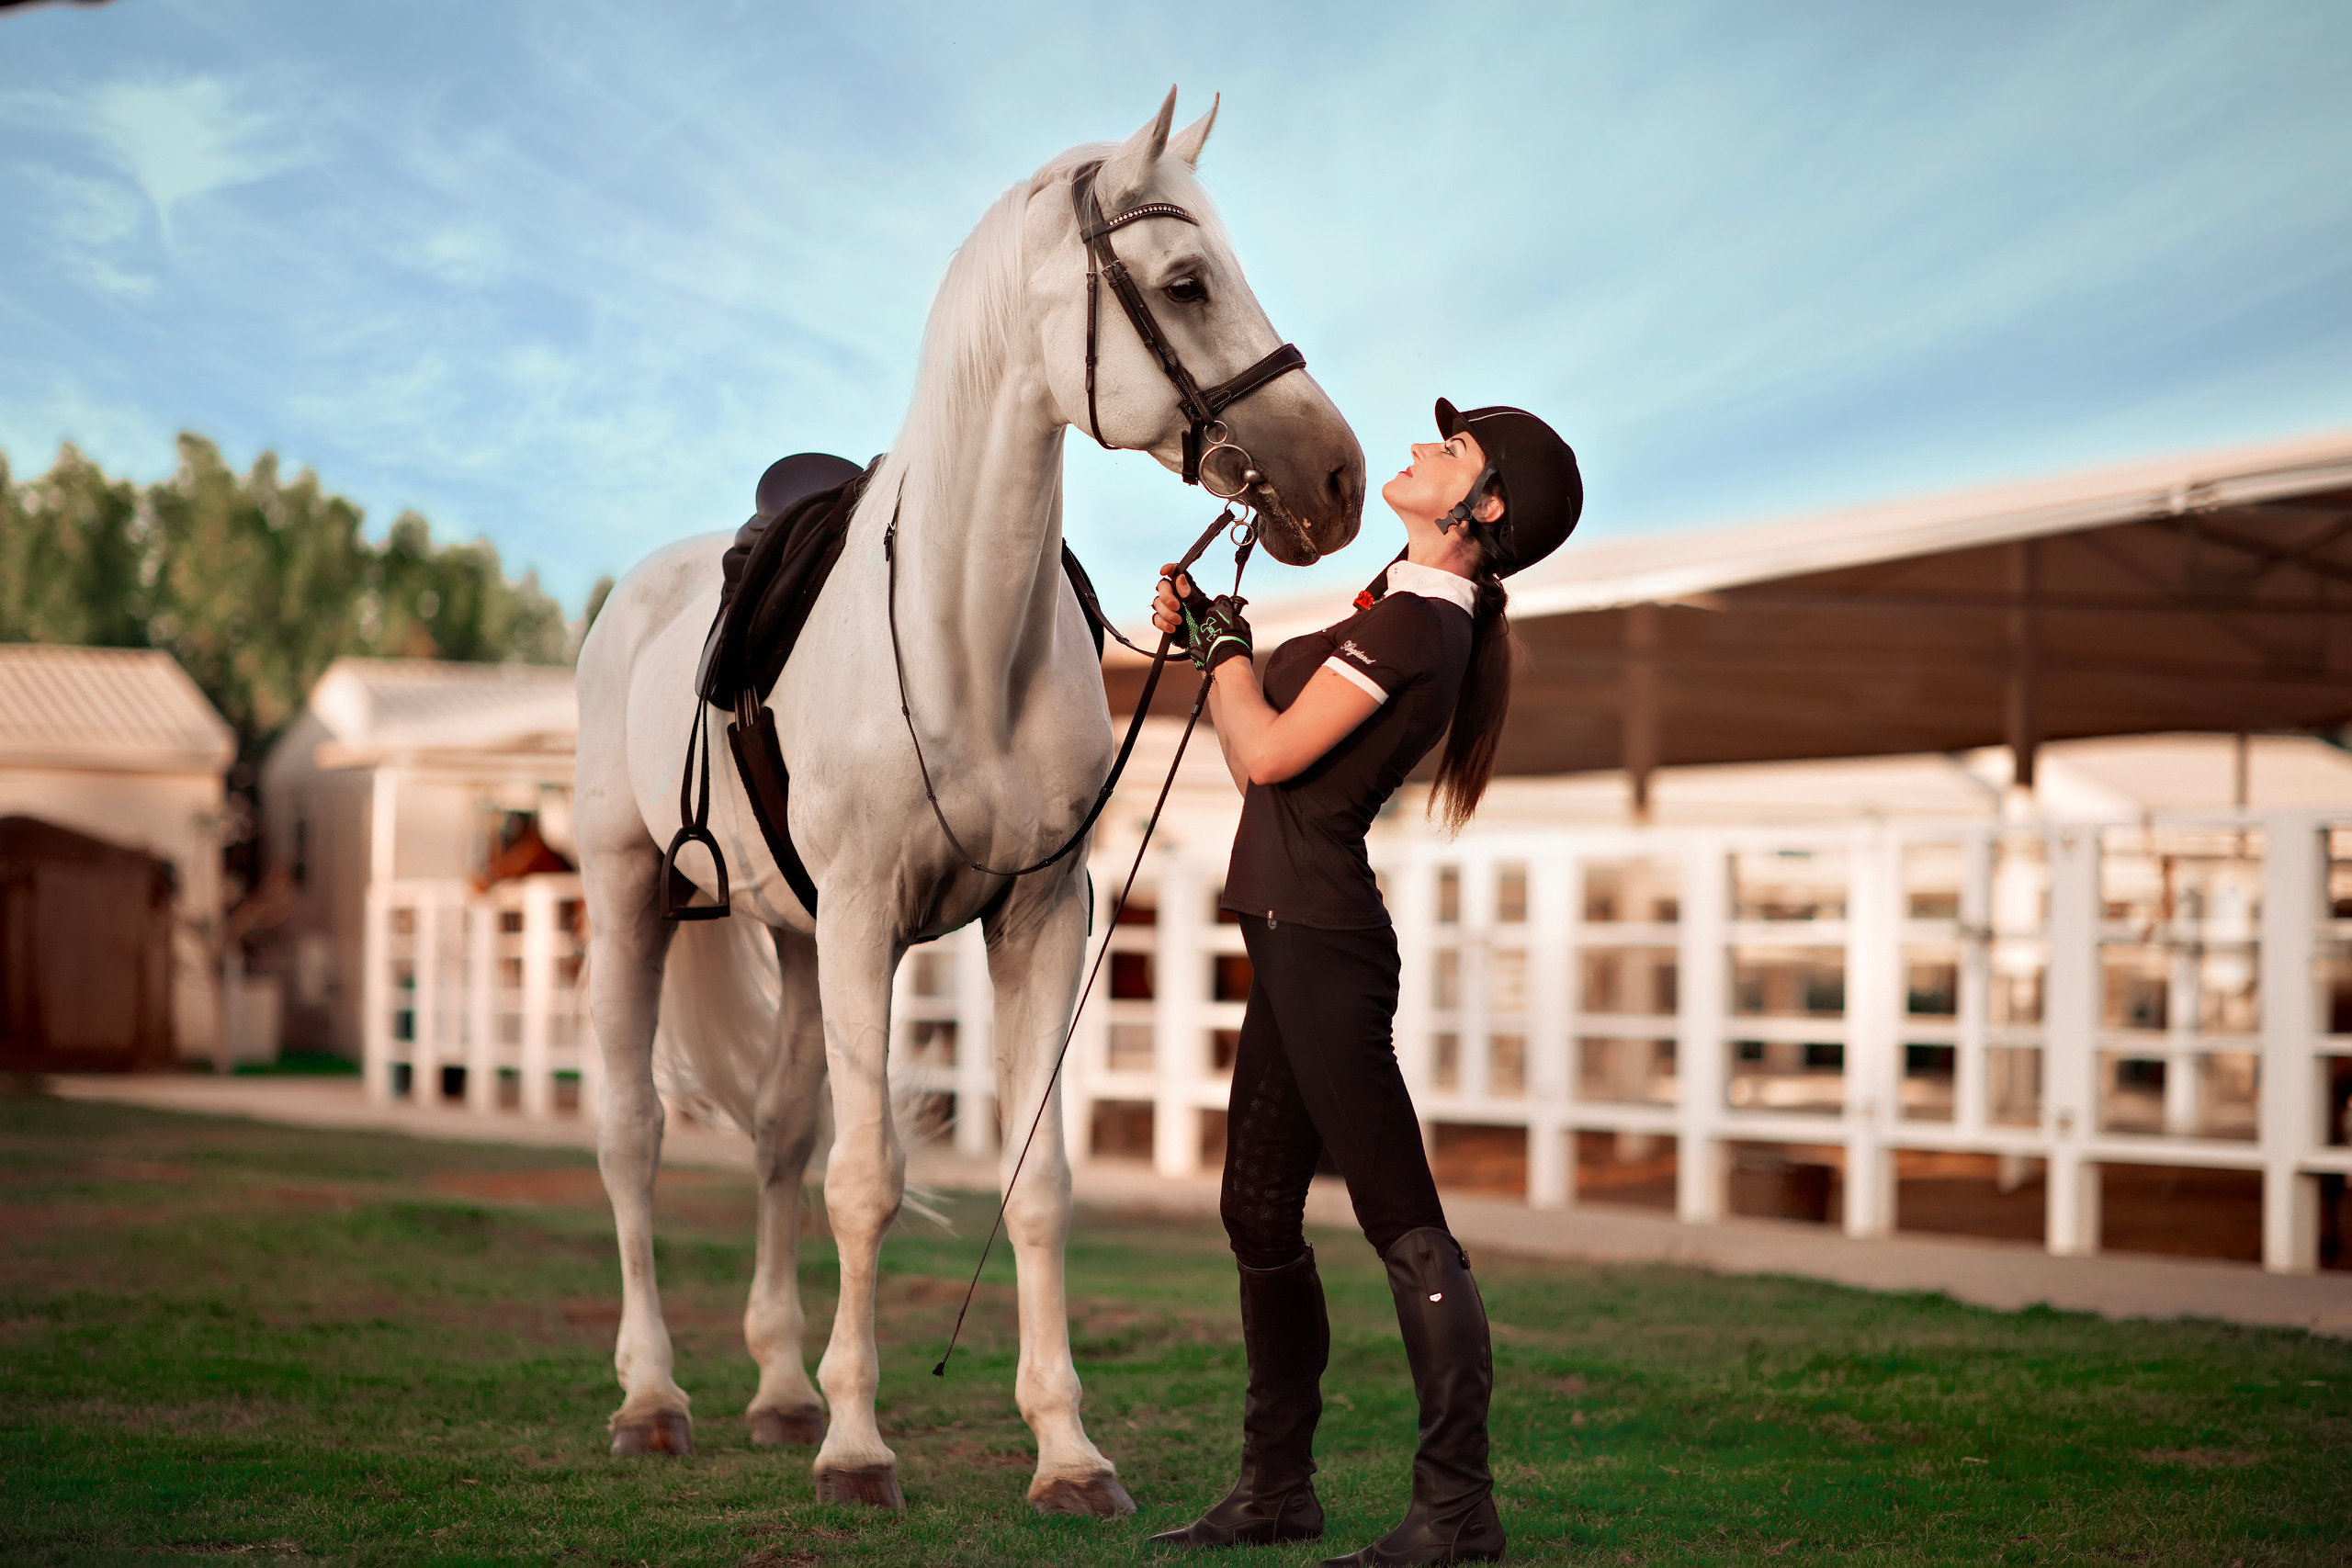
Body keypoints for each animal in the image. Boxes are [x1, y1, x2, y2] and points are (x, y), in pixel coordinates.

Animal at [572, 88, 1364, 1516]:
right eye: (1186, 280)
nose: (1337, 477)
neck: (962, 636)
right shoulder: (865, 922)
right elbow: (867, 1179)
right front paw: (857, 1447)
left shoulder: (1035, 919)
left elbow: (1033, 1181)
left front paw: (1066, 1452)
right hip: (632, 901)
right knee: (634, 1134)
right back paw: (653, 1397)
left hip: (792, 937)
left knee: (776, 1136)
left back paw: (777, 1386)